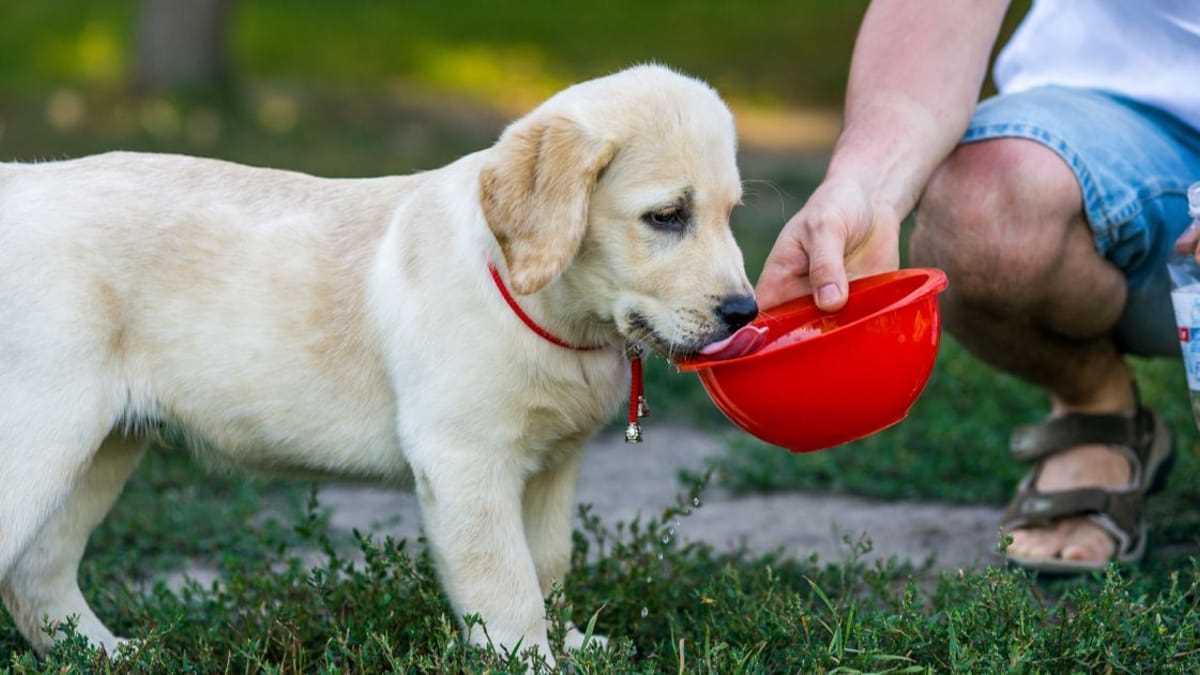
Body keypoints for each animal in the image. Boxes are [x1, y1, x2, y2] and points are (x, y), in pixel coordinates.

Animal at [0, 65, 748, 658]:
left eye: (732, 213)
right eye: (666, 216)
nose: (744, 311)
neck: (542, 304)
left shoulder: (552, 466)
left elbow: (548, 565)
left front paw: (571, 644)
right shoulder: (465, 461)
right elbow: (506, 582)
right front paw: (531, 659)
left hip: (102, 446)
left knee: (38, 570)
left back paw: (103, 652)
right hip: (42, 432)